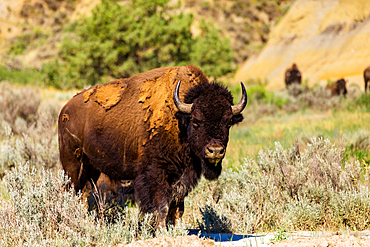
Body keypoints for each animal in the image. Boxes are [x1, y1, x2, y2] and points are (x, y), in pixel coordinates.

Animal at [58, 65, 249, 228]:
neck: (180, 119)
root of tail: (65, 109)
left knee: (84, 192)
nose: (215, 151)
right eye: (196, 121)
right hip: (72, 163)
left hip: (91, 166)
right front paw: (161, 229)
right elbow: (161, 206)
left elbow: (177, 207)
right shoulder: (155, 174)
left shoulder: (183, 177)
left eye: (228, 122)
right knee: (70, 190)